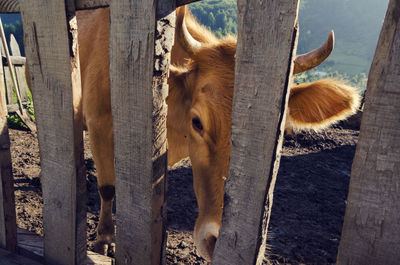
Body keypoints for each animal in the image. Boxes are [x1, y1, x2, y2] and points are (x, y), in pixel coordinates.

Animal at [75, 5, 360, 260]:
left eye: (281, 130)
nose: (216, 240)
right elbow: (108, 188)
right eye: (197, 122)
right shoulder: (99, 124)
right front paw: (104, 240)